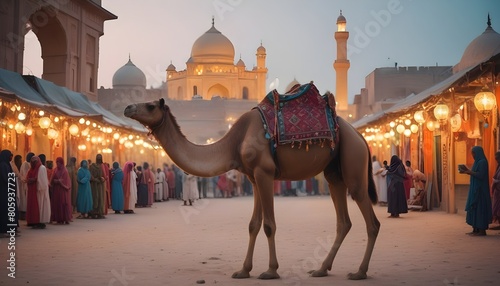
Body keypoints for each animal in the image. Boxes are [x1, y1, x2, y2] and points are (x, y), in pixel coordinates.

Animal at [124, 95, 378, 280]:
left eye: (150, 106)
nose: (127, 107)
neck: (233, 143)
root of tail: (360, 135)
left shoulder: (264, 173)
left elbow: (268, 225)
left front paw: (271, 270)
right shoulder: (254, 178)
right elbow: (253, 225)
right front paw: (243, 270)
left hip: (353, 164)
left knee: (371, 221)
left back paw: (359, 272)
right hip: (334, 173)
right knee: (343, 222)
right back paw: (321, 269)